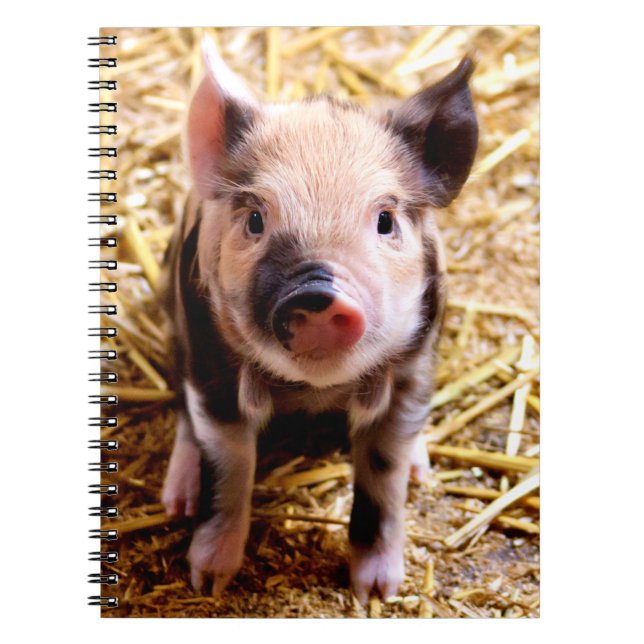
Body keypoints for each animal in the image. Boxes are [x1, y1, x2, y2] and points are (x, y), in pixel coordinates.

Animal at [160, 38, 477, 603]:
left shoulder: (414, 367)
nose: (317, 292)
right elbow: (229, 467)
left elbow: (384, 475)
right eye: (256, 219)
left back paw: (423, 472)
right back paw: (176, 501)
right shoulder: (210, 362)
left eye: (385, 221)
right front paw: (208, 582)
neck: (313, 393)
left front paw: (377, 593)